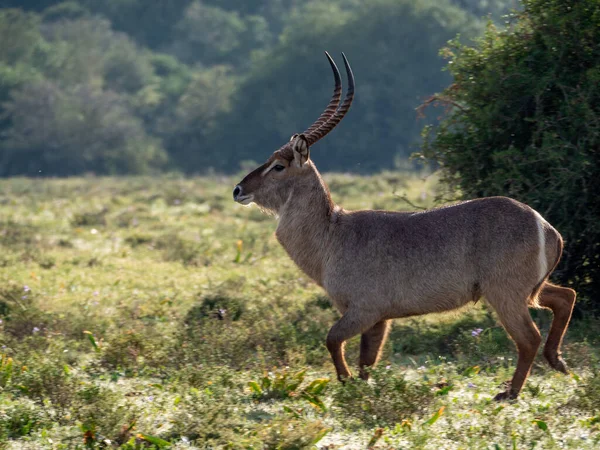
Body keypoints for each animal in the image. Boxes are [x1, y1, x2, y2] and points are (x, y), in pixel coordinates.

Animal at [233, 52, 576, 400]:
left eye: (279, 165)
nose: (238, 189)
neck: (333, 233)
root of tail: (545, 226)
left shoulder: (365, 310)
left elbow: (332, 340)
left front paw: (345, 385)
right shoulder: (379, 320)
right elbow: (367, 362)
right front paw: (362, 391)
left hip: (506, 293)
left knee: (529, 338)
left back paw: (510, 393)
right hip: (529, 290)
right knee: (566, 296)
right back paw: (557, 362)